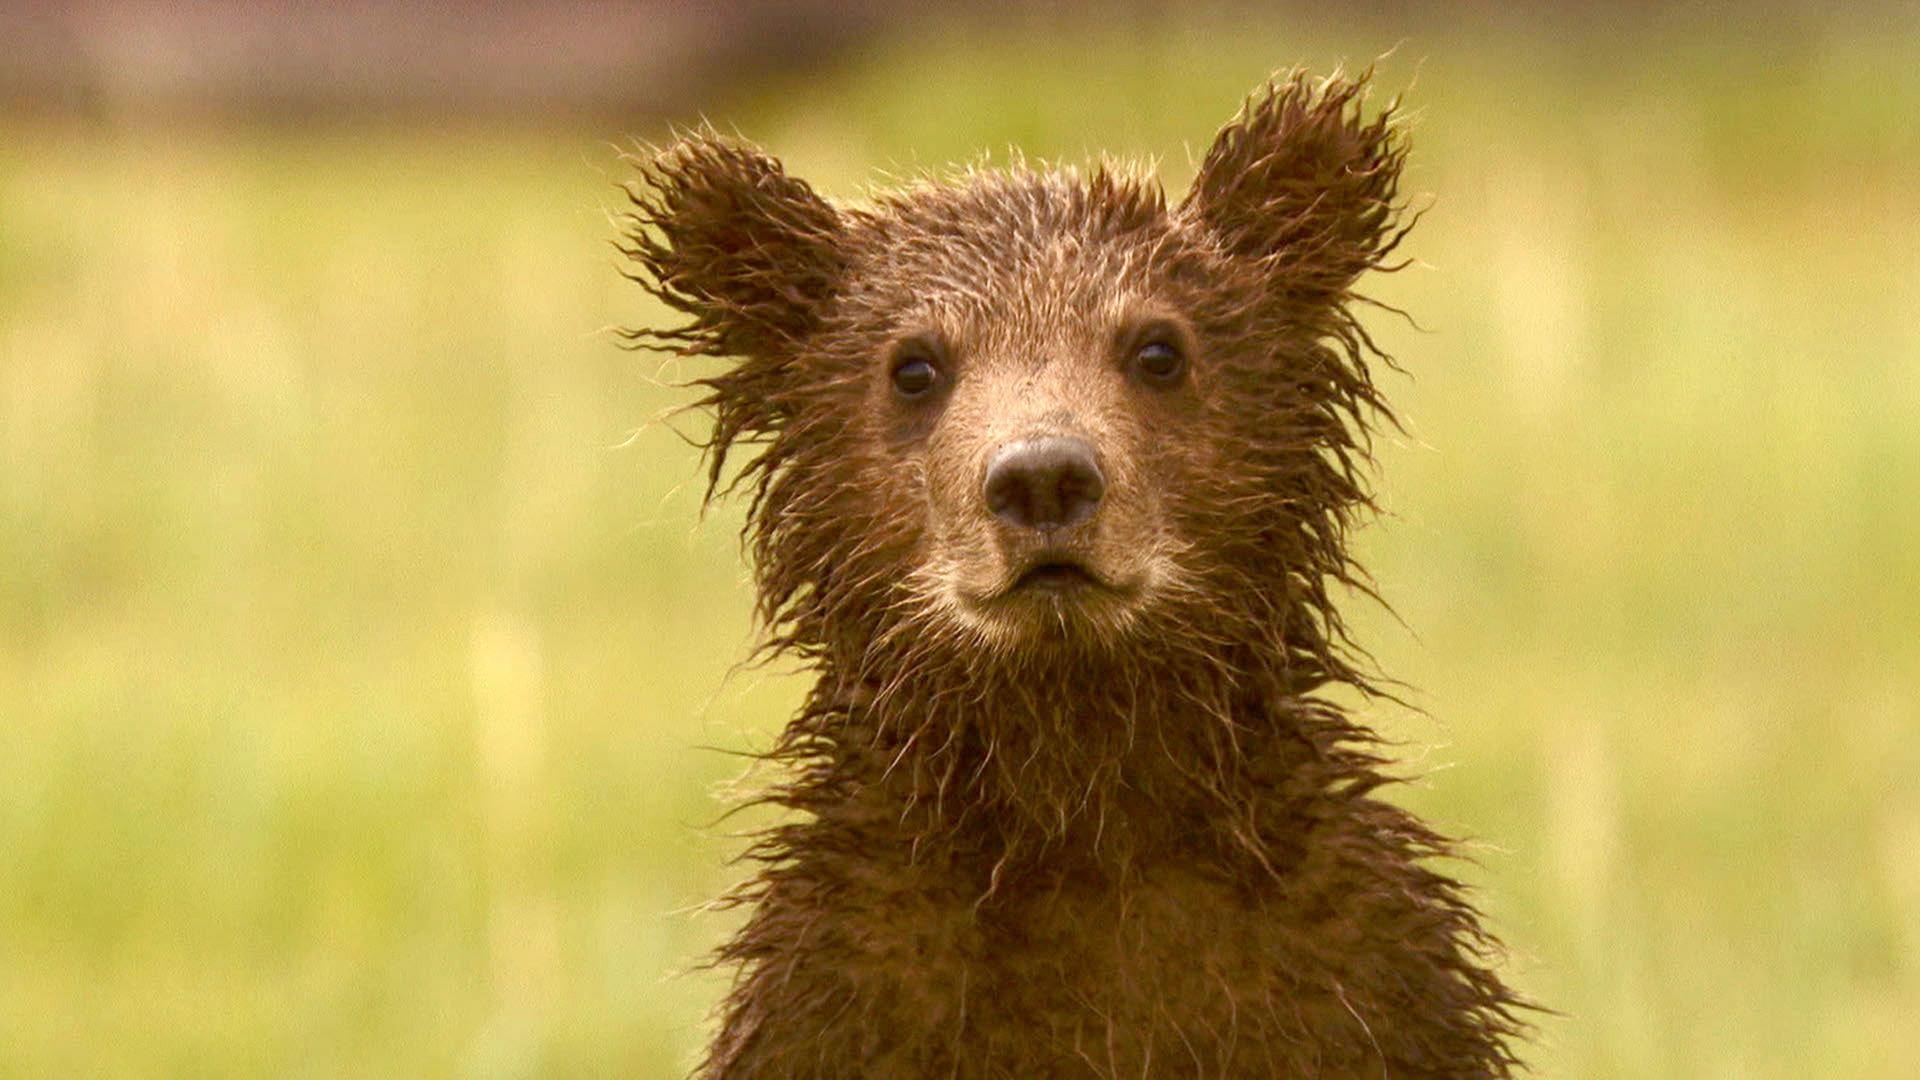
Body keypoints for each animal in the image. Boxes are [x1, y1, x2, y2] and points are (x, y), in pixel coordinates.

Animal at [619, 68, 1528, 1078]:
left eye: (1157, 348)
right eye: (914, 366)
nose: (1042, 477)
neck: (1075, 790)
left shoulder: (1355, 987)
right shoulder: (848, 996)